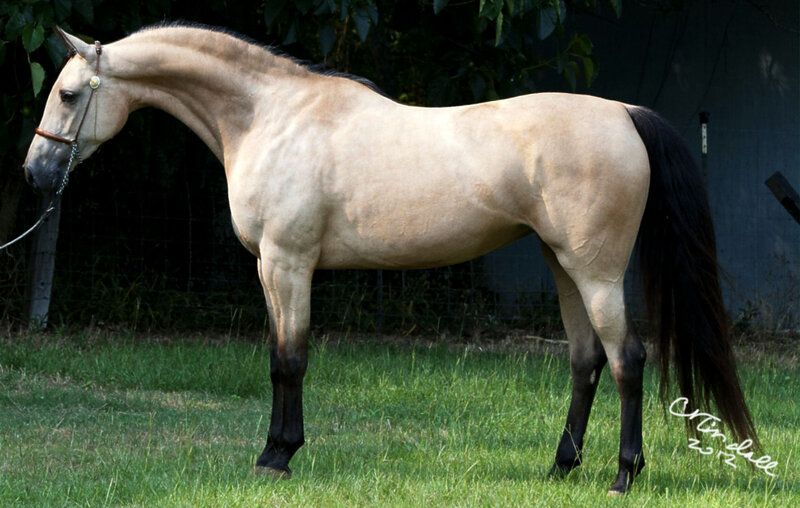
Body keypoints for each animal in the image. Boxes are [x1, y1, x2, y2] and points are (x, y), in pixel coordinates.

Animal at [22, 23, 758, 494]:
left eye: (68, 94)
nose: (34, 174)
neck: (270, 117)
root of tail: (624, 113)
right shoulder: (276, 268)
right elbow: (284, 357)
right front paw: (280, 451)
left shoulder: (286, 264)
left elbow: (288, 359)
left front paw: (276, 457)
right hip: (562, 266)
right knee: (585, 362)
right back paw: (559, 469)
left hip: (596, 272)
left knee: (627, 359)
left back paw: (623, 475)